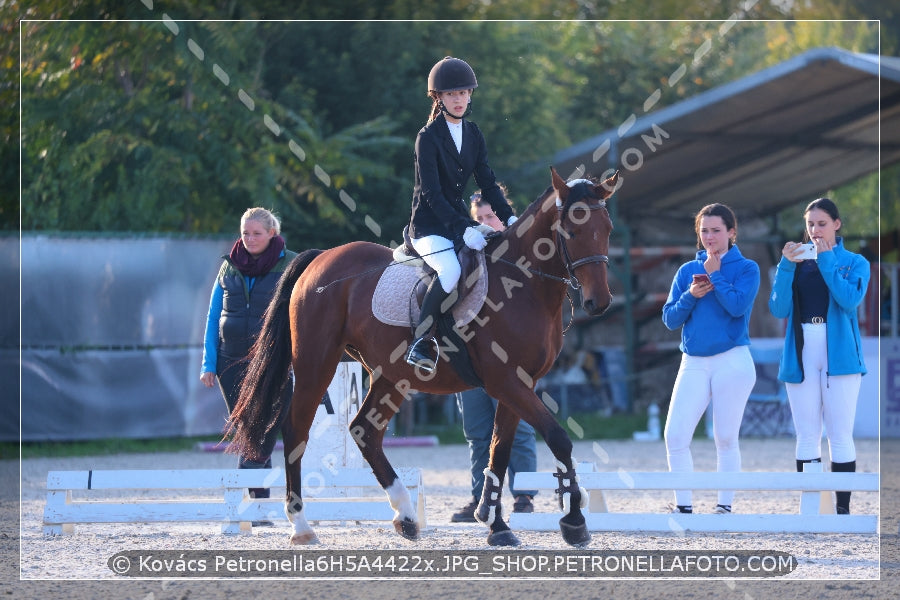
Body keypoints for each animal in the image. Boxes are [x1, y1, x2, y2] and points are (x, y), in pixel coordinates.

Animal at [225, 166, 620, 548]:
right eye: (571, 230)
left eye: (607, 229)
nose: (598, 303)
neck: (524, 285)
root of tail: (319, 258)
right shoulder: (506, 382)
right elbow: (558, 439)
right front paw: (574, 522)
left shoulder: (521, 384)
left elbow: (499, 452)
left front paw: (496, 525)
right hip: (315, 364)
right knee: (296, 431)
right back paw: (302, 526)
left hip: (390, 375)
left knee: (365, 431)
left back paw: (405, 515)